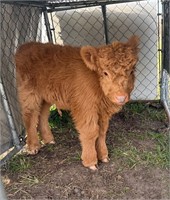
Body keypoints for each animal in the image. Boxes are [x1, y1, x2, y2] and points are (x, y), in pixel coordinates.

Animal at [14, 36, 139, 170]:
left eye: (131, 71)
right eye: (105, 72)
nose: (121, 97)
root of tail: (26, 46)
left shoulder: (102, 111)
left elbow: (102, 132)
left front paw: (104, 156)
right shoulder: (85, 108)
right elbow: (90, 132)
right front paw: (90, 162)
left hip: (45, 97)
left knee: (42, 115)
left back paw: (49, 139)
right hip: (29, 93)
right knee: (30, 117)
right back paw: (33, 147)